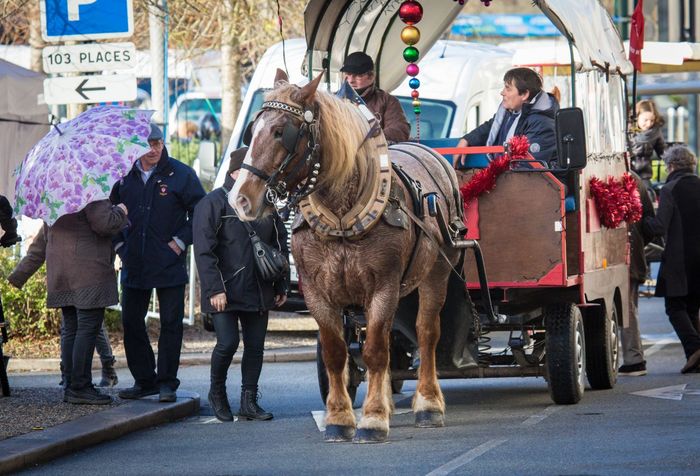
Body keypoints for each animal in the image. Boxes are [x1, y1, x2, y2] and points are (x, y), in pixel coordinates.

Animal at [230, 69, 464, 442]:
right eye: (253, 130)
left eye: (281, 131)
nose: (240, 199)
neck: (342, 216)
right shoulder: (317, 291)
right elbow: (337, 352)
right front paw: (340, 418)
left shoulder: (383, 287)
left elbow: (376, 351)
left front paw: (373, 419)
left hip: (436, 274)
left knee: (426, 333)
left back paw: (428, 403)